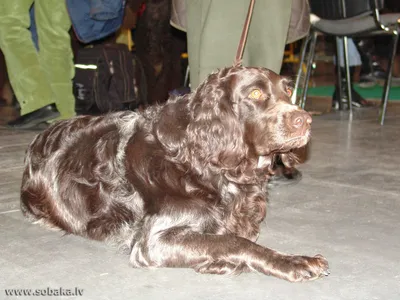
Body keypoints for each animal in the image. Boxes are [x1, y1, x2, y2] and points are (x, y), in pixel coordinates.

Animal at [20, 67, 328, 282]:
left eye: (287, 92)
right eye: (255, 94)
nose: (305, 120)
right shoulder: (153, 241)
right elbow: (232, 241)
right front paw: (294, 261)